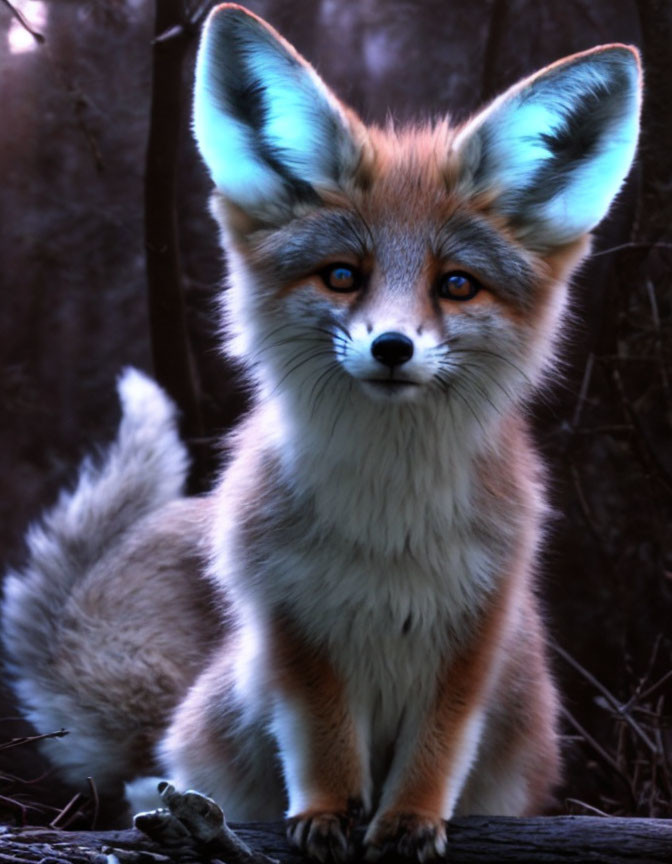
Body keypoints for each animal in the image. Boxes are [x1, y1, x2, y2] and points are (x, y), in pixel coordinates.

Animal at [2, 3, 640, 860]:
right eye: (342, 275)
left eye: (456, 285)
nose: (393, 346)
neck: (387, 533)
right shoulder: (290, 624)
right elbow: (323, 740)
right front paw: (329, 812)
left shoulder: (479, 624)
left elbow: (437, 747)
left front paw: (409, 819)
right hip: (223, 697)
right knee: (151, 782)